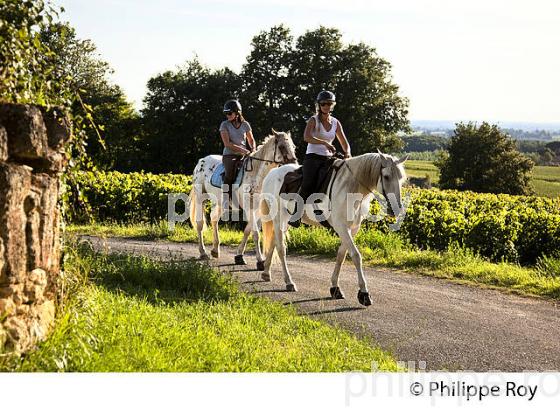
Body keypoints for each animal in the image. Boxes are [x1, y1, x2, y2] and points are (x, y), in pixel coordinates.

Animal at [188, 131, 298, 270]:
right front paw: (260, 261)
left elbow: (248, 231)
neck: (257, 175)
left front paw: (239, 256)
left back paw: (215, 250)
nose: (294, 163)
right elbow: (255, 233)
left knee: (213, 218)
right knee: (200, 224)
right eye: (282, 146)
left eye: (293, 146)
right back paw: (203, 253)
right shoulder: (248, 207)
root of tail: (201, 160)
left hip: (221, 202)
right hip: (200, 197)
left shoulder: (257, 210)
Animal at [258, 152, 406, 306]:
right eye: (386, 176)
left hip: (286, 221)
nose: (396, 209)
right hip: (278, 218)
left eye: (401, 178)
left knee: (274, 242)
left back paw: (266, 273)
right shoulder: (341, 227)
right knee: (281, 248)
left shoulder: (352, 229)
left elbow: (341, 255)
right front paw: (364, 294)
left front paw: (335, 288)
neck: (350, 187)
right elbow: (356, 256)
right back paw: (289, 282)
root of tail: (272, 174)